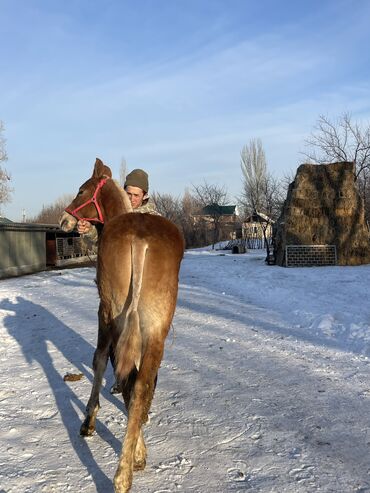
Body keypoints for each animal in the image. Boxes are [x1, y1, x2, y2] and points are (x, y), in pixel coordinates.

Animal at [59, 159, 185, 492]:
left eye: (81, 190)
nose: (64, 220)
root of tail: (140, 240)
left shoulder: (102, 311)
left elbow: (100, 360)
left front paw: (88, 421)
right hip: (155, 328)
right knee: (140, 383)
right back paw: (131, 463)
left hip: (115, 314)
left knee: (125, 374)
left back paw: (123, 473)